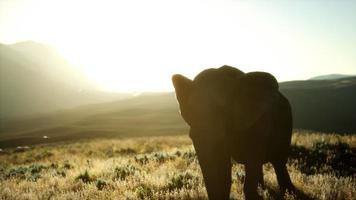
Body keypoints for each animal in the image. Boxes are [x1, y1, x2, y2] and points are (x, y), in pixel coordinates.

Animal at [172, 65, 294, 200]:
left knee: (279, 162)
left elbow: (252, 160)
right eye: (191, 110)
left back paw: (289, 193)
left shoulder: (259, 123)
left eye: (222, 108)